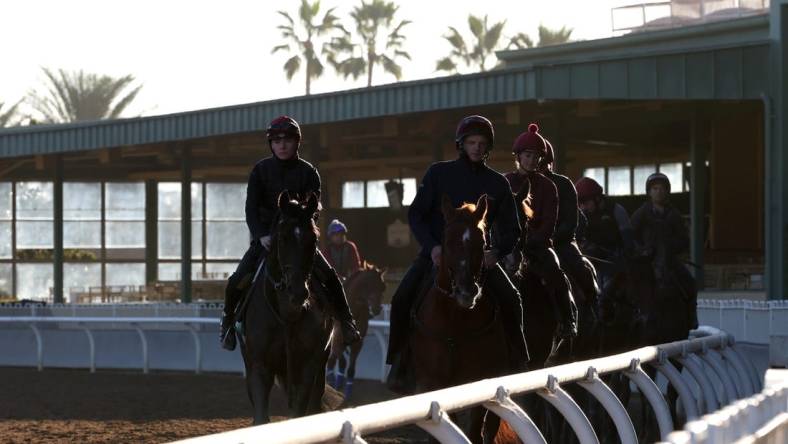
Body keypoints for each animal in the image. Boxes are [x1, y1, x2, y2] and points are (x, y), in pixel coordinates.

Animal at [237, 190, 342, 424]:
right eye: (283, 238)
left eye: (313, 238)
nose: (298, 292)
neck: (286, 313)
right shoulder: (259, 366)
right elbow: (261, 417)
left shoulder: (307, 365)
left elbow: (299, 412)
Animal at [326, 258, 388, 398]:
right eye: (368, 285)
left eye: (382, 287)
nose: (377, 309)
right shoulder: (337, 340)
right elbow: (339, 361)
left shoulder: (358, 342)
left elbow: (350, 368)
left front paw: (347, 390)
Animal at [410, 195, 508, 444]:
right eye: (447, 240)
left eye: (482, 242)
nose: (467, 292)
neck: (454, 323)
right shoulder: (435, 383)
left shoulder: (481, 380)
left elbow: (474, 430)